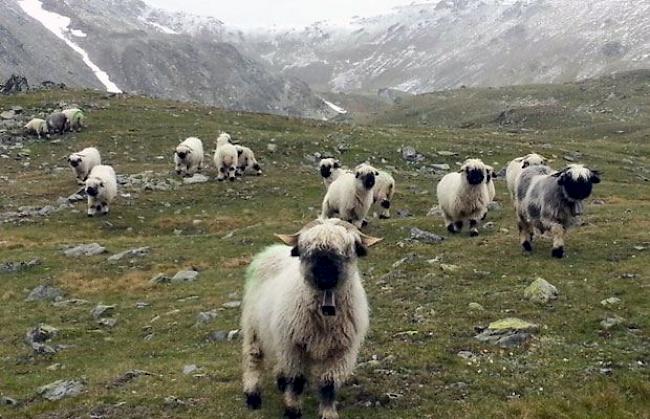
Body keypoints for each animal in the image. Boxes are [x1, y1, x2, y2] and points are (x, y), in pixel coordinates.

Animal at [239, 218, 380, 418]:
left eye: (346, 250)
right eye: (308, 251)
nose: (325, 277)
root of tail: (273, 249)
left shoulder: (340, 351)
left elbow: (328, 384)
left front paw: (328, 413)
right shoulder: (294, 346)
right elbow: (297, 381)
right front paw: (292, 410)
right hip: (254, 327)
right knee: (253, 359)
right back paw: (253, 396)